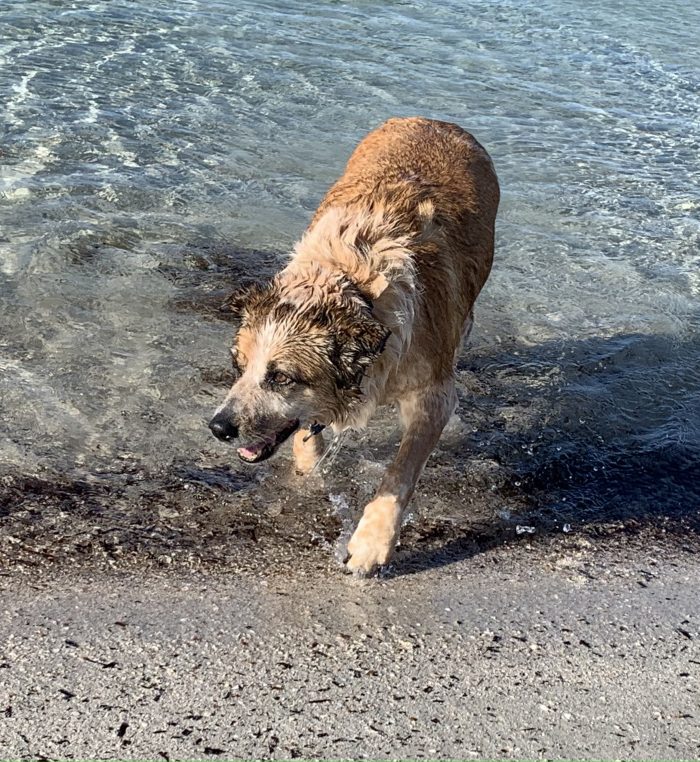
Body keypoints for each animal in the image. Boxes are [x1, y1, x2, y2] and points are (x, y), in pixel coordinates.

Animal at [208, 116, 498, 572]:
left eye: (281, 377)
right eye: (239, 367)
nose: (219, 427)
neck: (355, 286)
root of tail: (437, 122)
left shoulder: (431, 393)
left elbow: (402, 470)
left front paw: (371, 544)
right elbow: (306, 438)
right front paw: (310, 472)